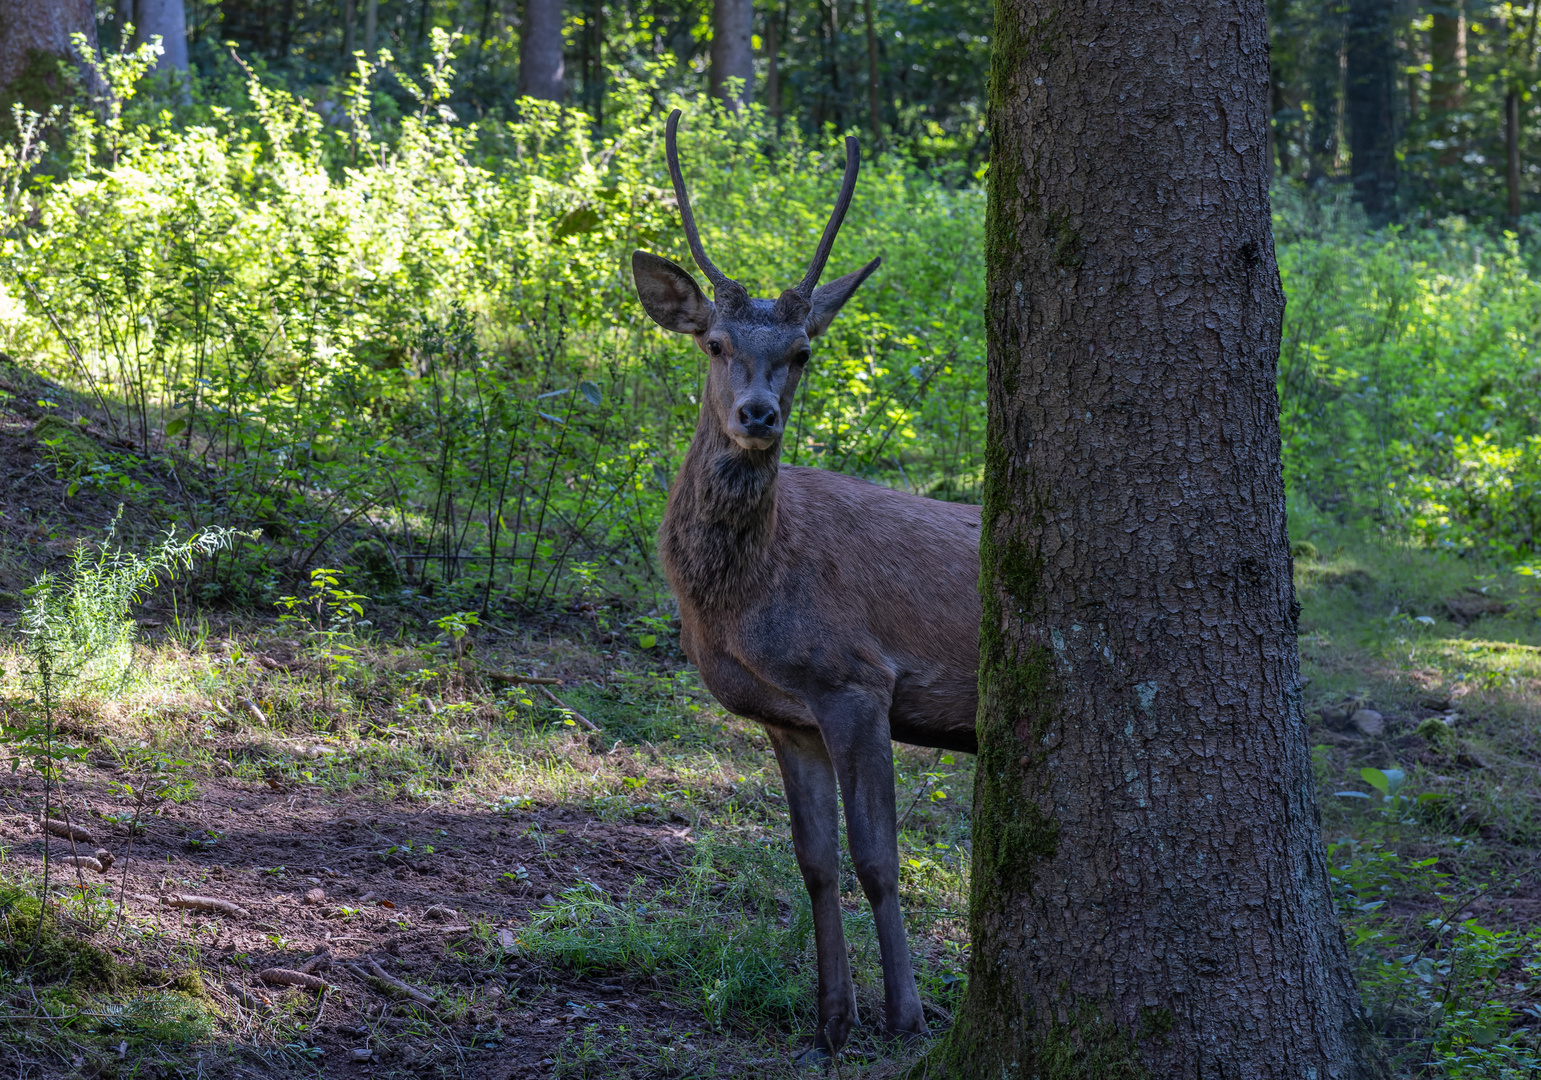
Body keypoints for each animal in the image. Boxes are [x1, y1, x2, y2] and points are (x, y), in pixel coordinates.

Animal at [628, 111, 980, 1059]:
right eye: (714, 343)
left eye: (802, 352)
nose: (758, 415)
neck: (741, 603)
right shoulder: (788, 717)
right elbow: (814, 863)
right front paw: (830, 1020)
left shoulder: (858, 680)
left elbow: (878, 861)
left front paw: (905, 1019)